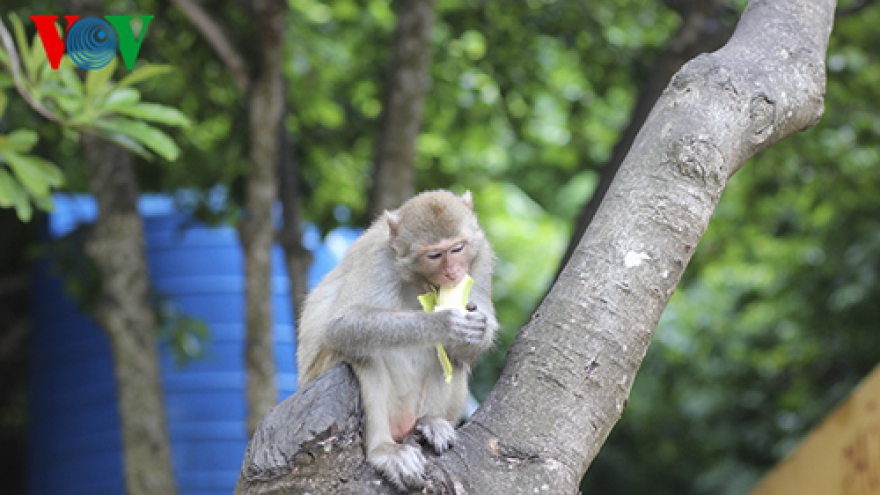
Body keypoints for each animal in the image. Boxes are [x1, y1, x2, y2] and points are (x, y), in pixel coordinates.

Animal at [300, 191, 498, 492]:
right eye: (435, 255)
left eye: (457, 249)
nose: (453, 273)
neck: (419, 281)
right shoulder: (379, 259)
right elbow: (343, 324)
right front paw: (444, 324)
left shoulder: (480, 255)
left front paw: (477, 328)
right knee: (363, 354)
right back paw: (384, 450)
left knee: (450, 358)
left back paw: (430, 422)